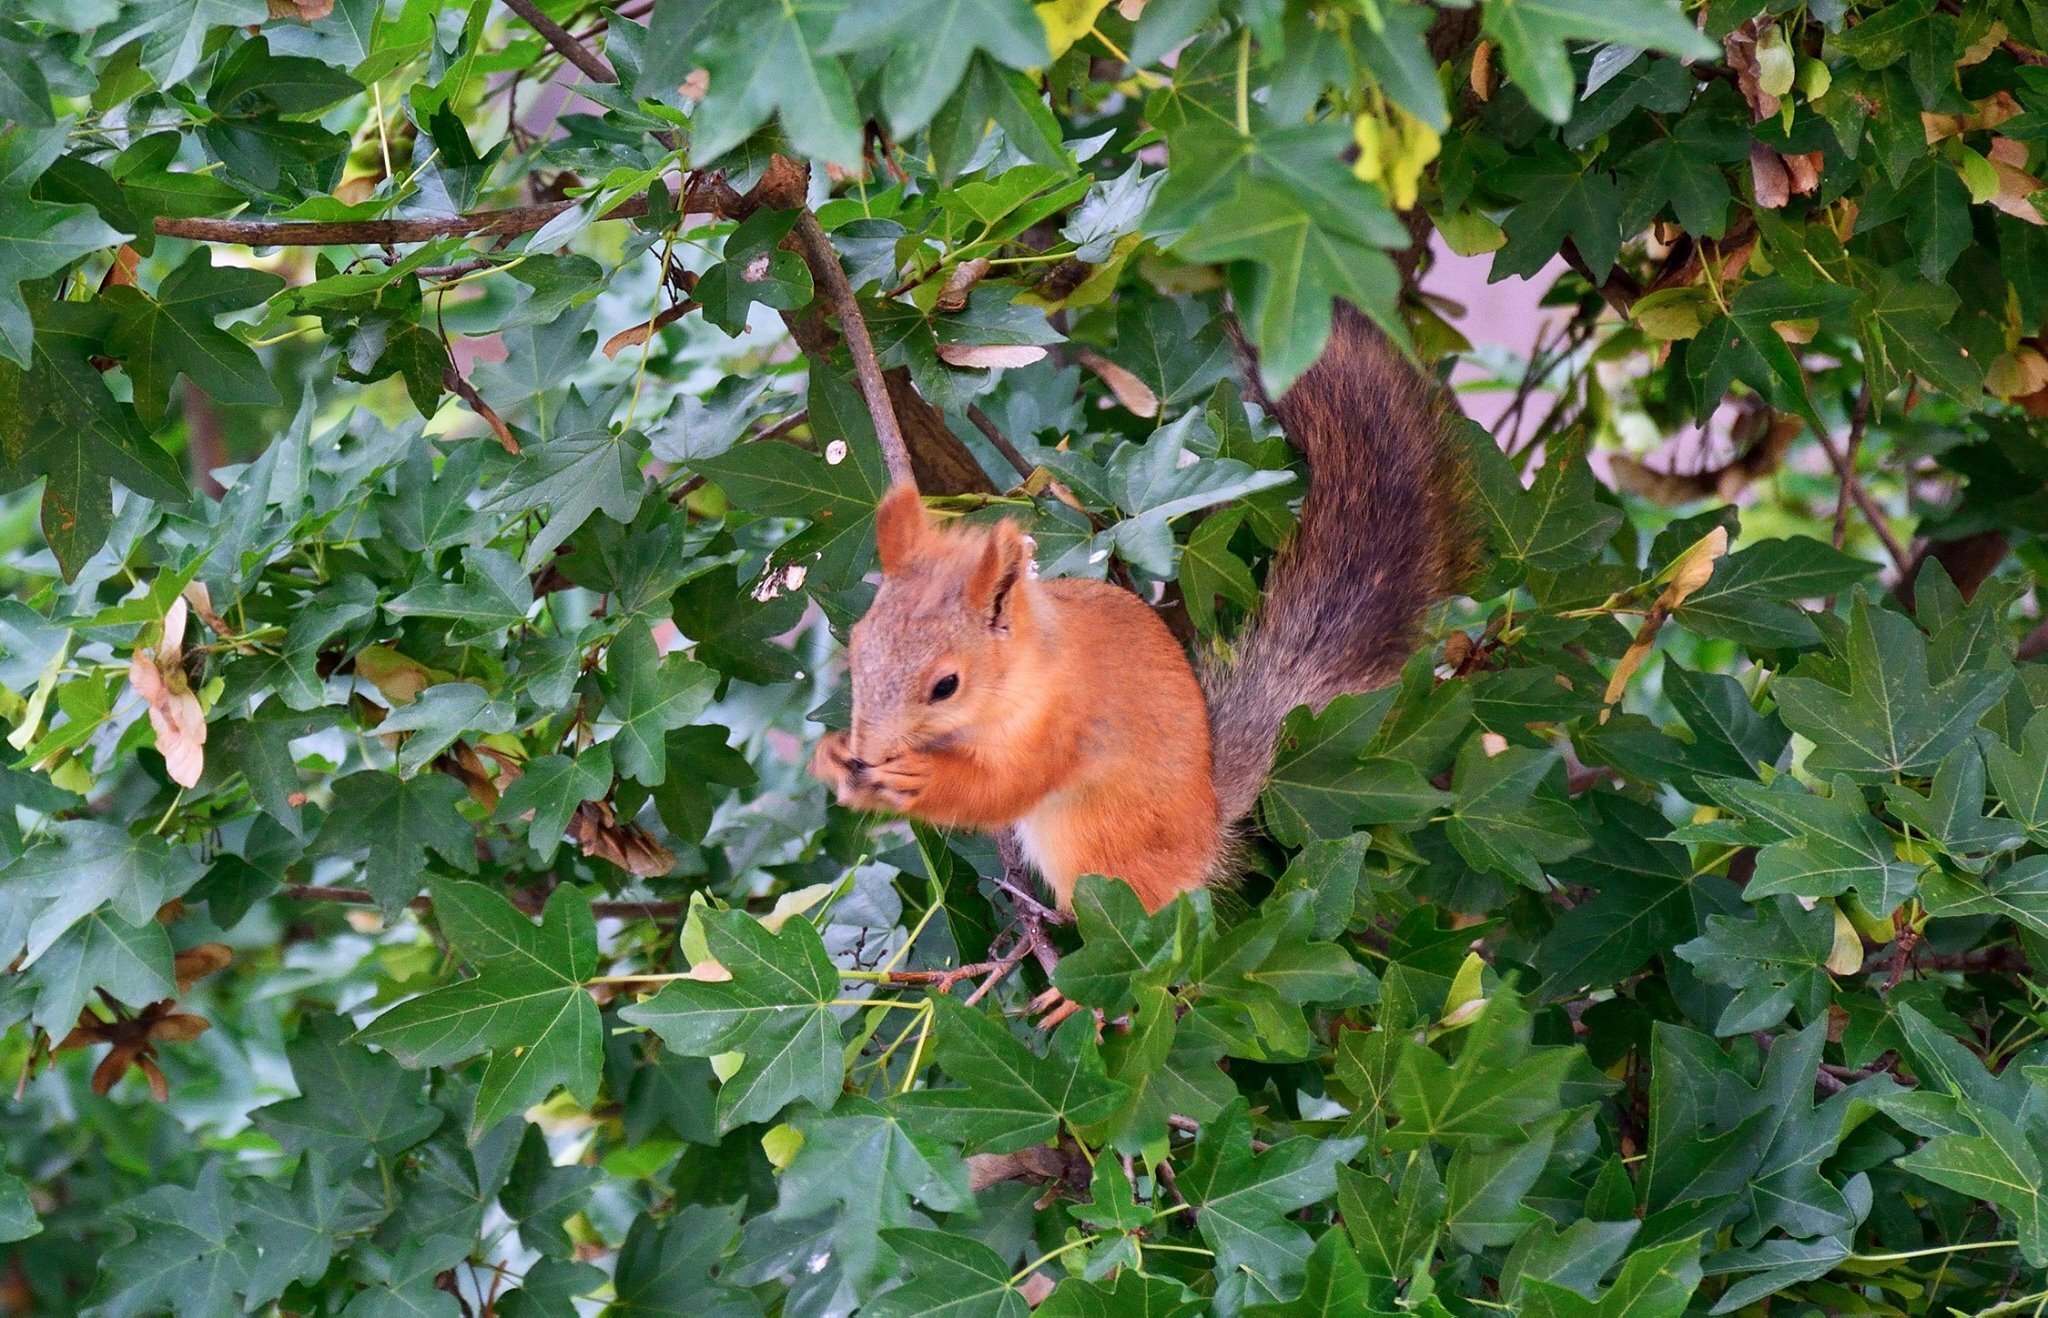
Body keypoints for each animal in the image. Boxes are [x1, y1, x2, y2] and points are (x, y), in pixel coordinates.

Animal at [806, 302, 1466, 912]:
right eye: (856, 647)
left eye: (947, 686)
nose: (867, 752)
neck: (1022, 674)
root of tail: (1206, 831)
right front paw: (832, 758)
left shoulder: (1065, 726)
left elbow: (999, 792)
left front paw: (916, 779)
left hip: (1095, 846)